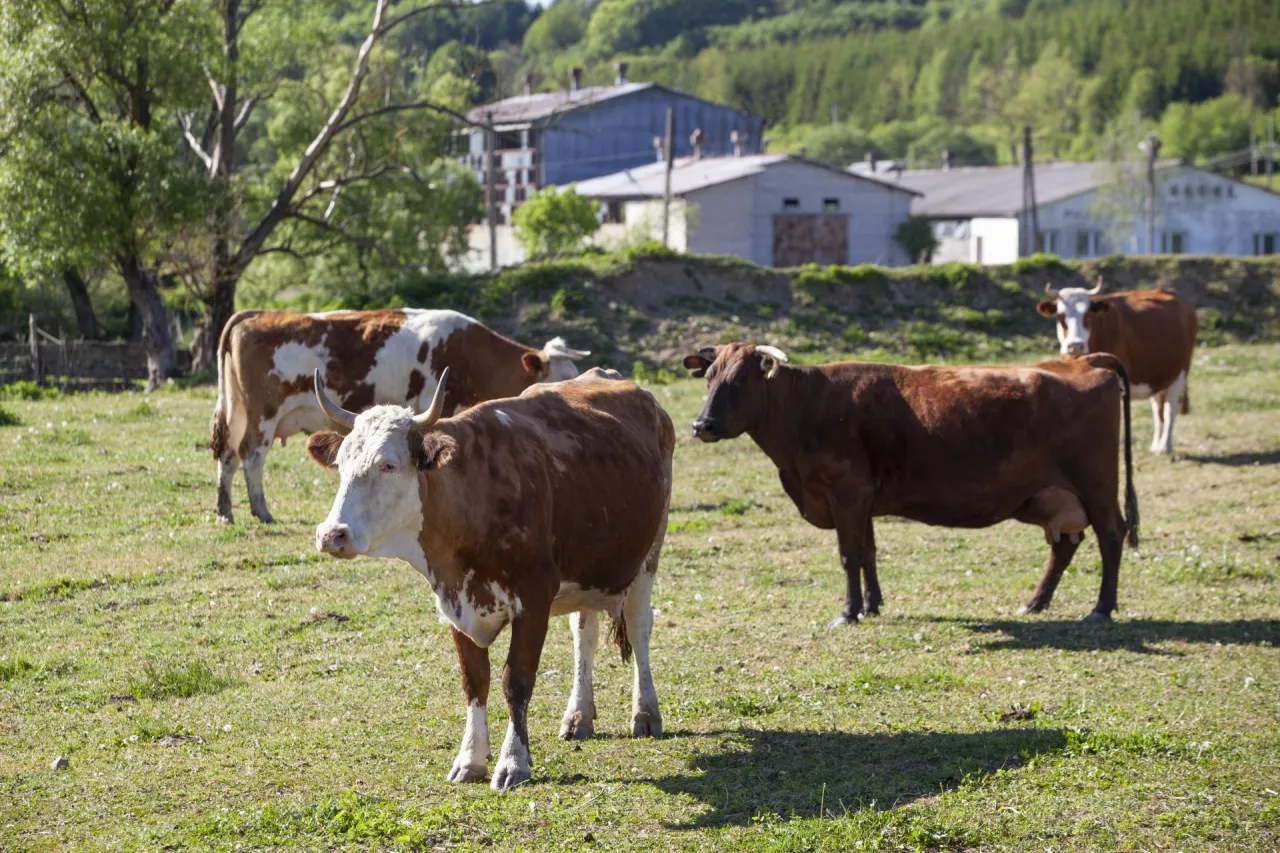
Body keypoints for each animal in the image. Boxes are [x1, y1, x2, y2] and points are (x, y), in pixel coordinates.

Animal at [209, 302, 588, 522]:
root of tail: (256, 314)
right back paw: (261, 511)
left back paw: (226, 512)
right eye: (562, 376)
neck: (468, 351)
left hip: (238, 410)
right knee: (251, 455)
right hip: (262, 414)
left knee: (228, 455)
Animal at [307, 361, 680, 788]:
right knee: (584, 634)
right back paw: (578, 715)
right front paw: (470, 759)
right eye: (341, 466)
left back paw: (645, 713)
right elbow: (475, 682)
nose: (332, 534)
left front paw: (513, 762)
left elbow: (515, 681)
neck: (476, 494)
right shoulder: (453, 599)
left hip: (647, 556)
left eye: (389, 464)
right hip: (587, 570)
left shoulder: (534, 599)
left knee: (639, 626)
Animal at [686, 338, 1136, 625]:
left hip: (1096, 484)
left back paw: (1101, 608)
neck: (806, 407)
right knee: (1065, 545)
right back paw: (1035, 603)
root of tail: (1082, 362)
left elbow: (849, 555)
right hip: (1053, 496)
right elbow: (868, 552)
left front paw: (848, 613)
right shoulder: (862, 497)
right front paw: (871, 606)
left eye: (740, 381)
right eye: (709, 379)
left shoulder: (846, 492)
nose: (701, 424)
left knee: (1111, 534)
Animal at [1034, 279, 1192, 450]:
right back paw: (1156, 445)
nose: (1075, 346)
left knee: (1170, 410)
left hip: (1179, 373)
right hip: (1158, 377)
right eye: (1061, 316)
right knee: (1158, 409)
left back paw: (1165, 446)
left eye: (1088, 315)